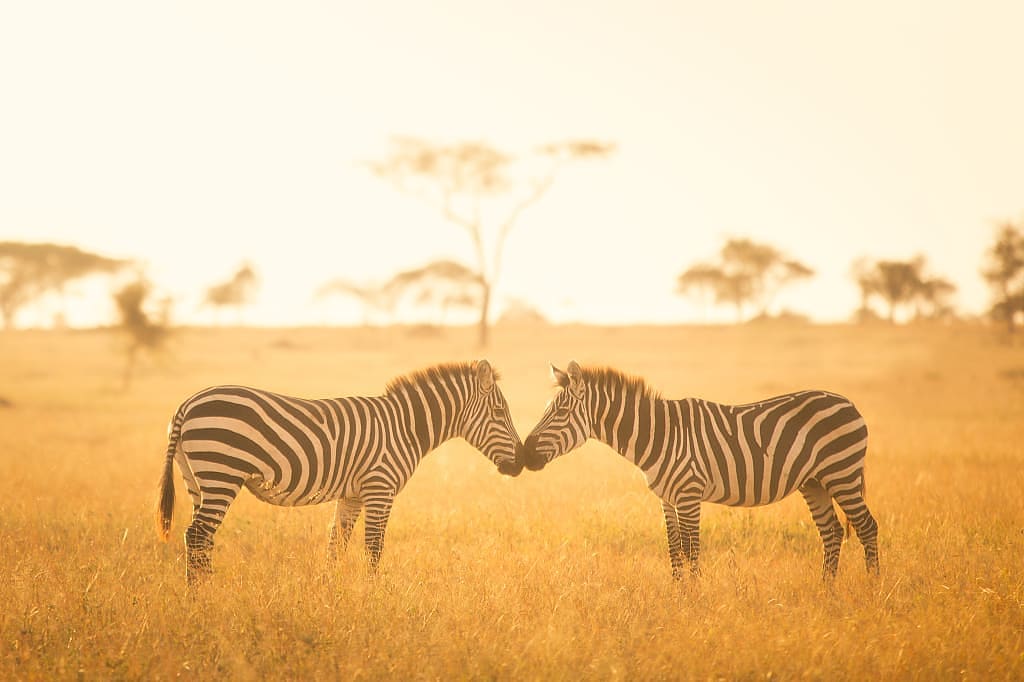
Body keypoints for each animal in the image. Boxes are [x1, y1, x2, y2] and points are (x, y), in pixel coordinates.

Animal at [156, 360, 522, 583]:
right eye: (499, 412)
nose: (520, 463)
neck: (405, 427)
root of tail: (187, 404)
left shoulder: (353, 495)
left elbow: (337, 544)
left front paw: (329, 592)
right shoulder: (380, 488)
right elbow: (374, 547)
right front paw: (374, 598)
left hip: (198, 480)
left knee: (201, 539)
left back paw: (205, 591)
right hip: (222, 472)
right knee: (197, 535)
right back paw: (201, 599)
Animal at [517, 361, 879, 580]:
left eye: (561, 413)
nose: (525, 454)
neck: (659, 435)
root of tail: (850, 404)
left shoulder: (689, 494)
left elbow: (692, 548)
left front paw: (694, 599)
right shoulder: (666, 498)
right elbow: (674, 547)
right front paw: (678, 596)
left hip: (841, 473)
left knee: (866, 527)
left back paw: (871, 589)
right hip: (814, 481)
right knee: (831, 533)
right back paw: (826, 592)